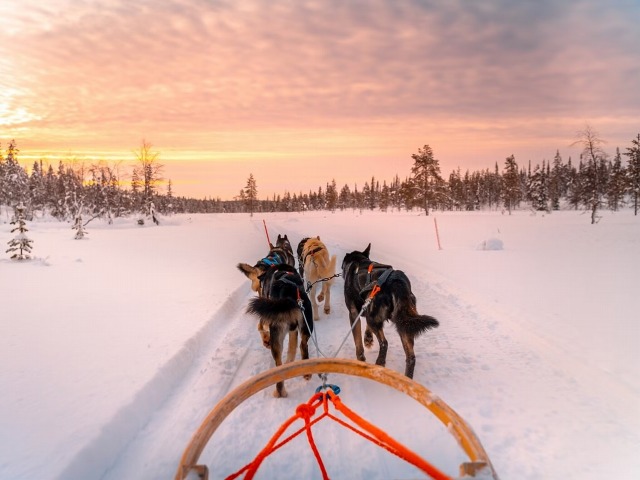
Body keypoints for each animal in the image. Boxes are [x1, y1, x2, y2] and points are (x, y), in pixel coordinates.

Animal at [340, 244, 440, 378]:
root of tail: (397, 282)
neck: (359, 261)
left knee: (384, 343)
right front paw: (368, 338)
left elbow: (358, 343)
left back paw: (379, 363)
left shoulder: (354, 314)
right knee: (411, 357)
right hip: (404, 324)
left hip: (379, 319)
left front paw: (360, 360)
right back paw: (407, 378)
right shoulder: (368, 309)